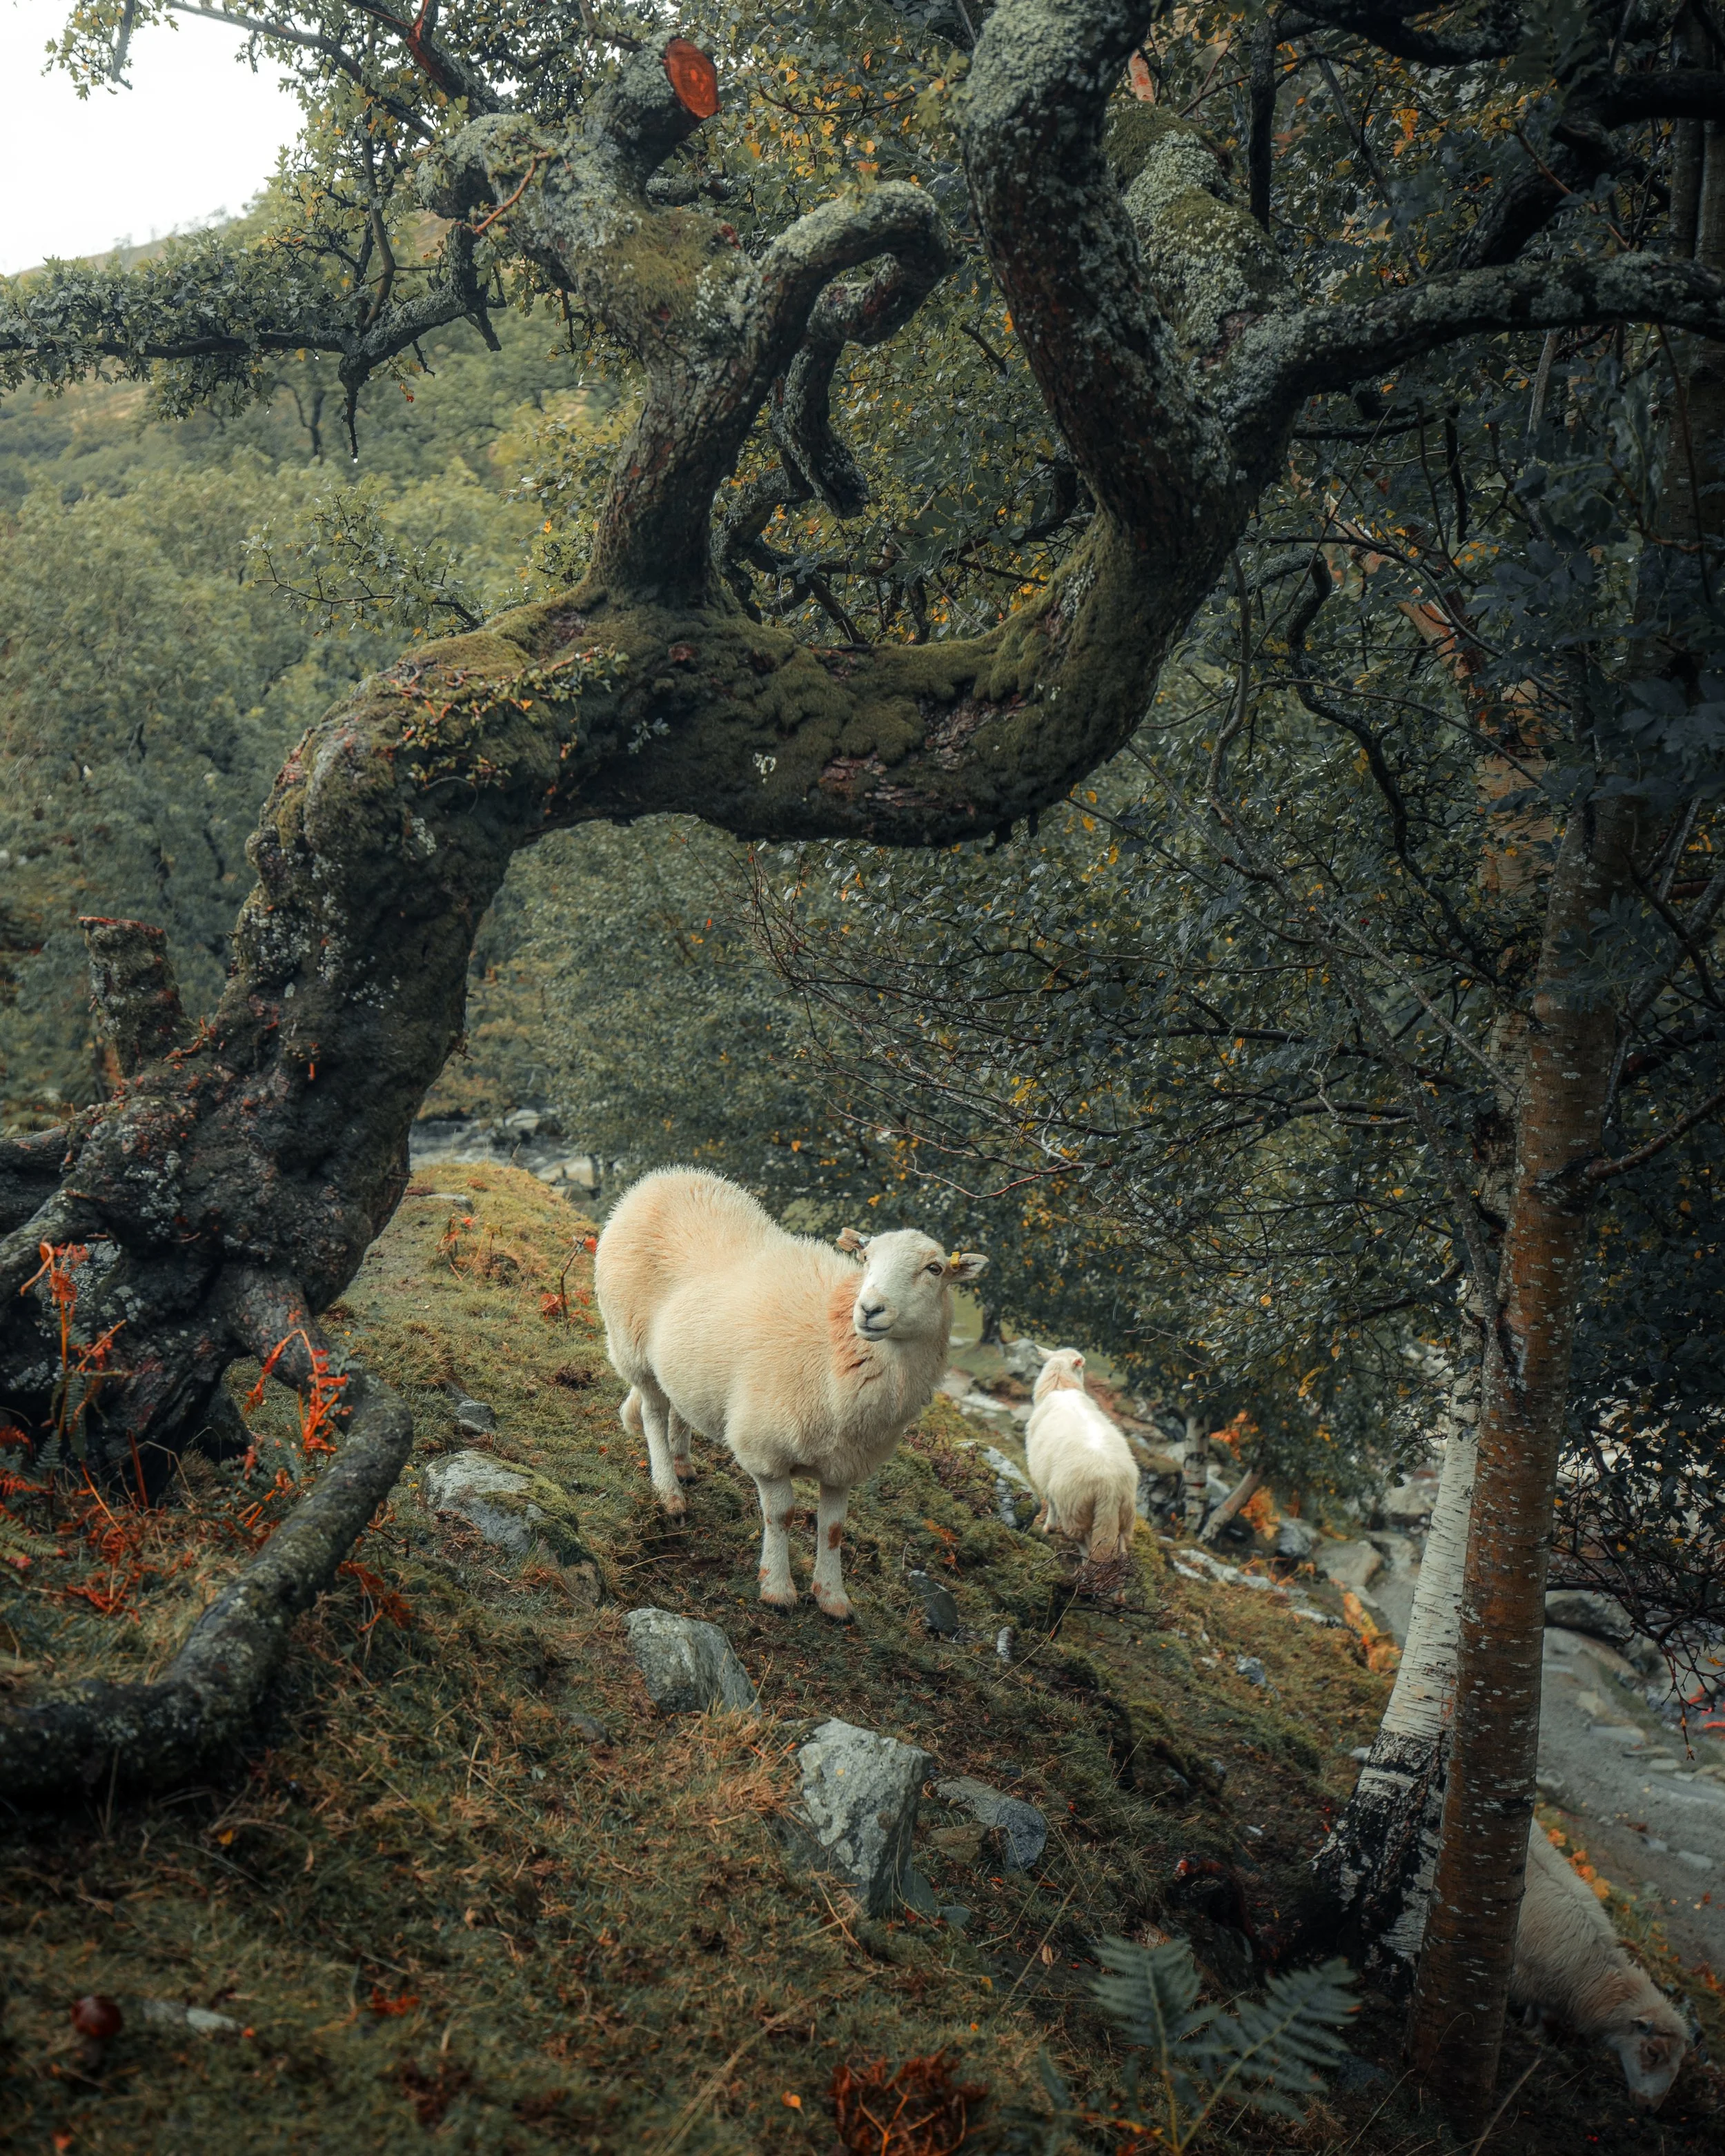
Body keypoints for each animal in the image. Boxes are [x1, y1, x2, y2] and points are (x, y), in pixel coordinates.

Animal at [595, 1167, 985, 1621]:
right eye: (867, 1259)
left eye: (935, 1269)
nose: (870, 1310)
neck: (837, 1351)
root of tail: (666, 1178)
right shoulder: (764, 1448)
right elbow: (781, 1515)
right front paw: (777, 1589)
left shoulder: (845, 1463)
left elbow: (833, 1529)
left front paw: (833, 1598)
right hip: (632, 1343)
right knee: (655, 1413)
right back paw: (668, 1491)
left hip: (682, 1359)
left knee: (678, 1405)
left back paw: (682, 1464)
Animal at [1023, 1347, 1138, 1571]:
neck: (1060, 1388)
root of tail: (1109, 1486)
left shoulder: (1047, 1480)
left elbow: (1051, 1503)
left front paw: (1049, 1527)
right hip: (1124, 1512)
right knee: (1121, 1547)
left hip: (1075, 1510)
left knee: (1085, 1545)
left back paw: (1085, 1571)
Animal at [1512, 1825, 1688, 2107]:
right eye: (1653, 2052)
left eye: (1680, 2058)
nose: (1649, 2108)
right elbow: (1548, 2018)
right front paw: (1535, 2036)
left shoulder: (1545, 1985)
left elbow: (1540, 2011)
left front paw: (1528, 2027)